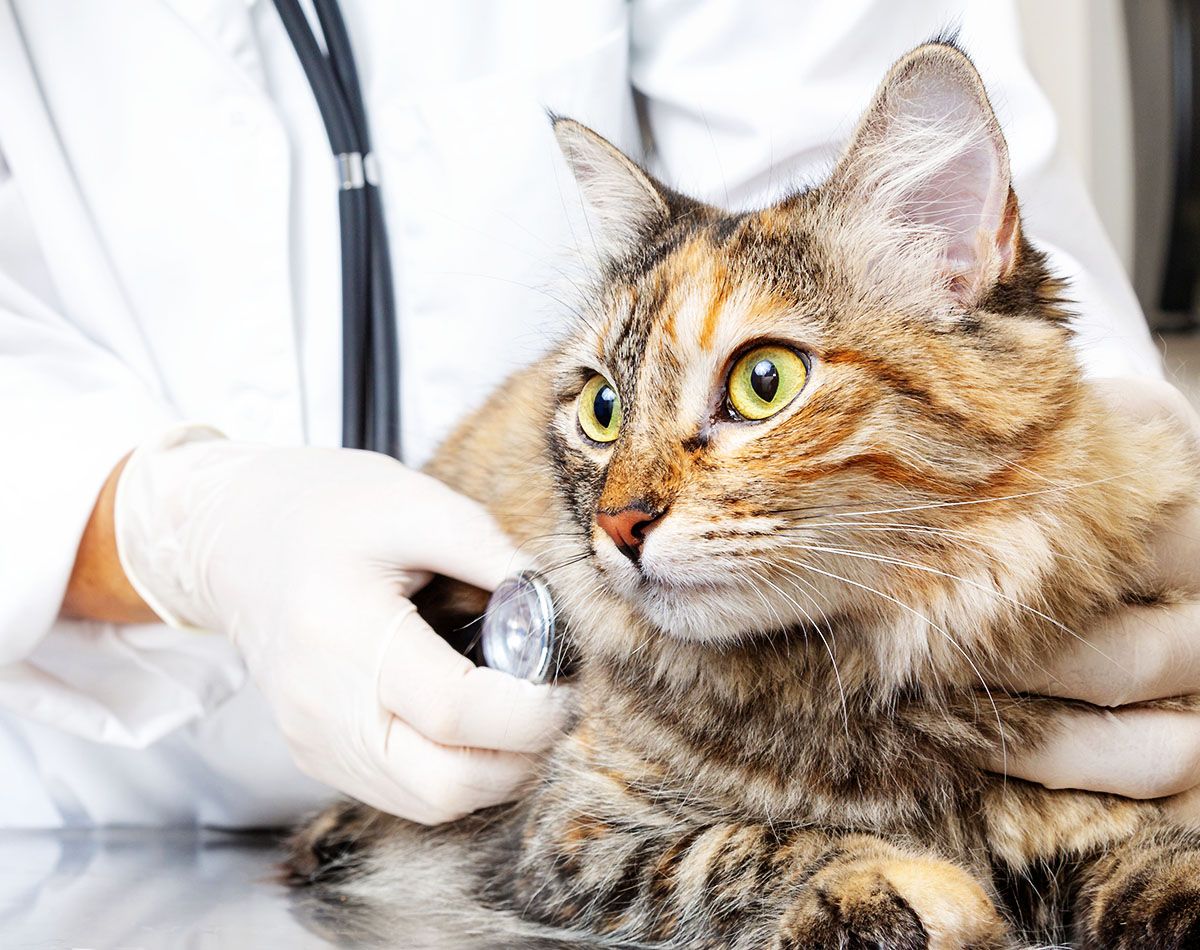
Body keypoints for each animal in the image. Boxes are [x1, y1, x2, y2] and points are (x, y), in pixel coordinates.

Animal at [283, 40, 1200, 945]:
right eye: (602, 408)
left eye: (766, 382)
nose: (618, 523)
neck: (861, 682)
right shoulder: (568, 832)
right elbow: (749, 844)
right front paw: (890, 888)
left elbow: (1156, 856)